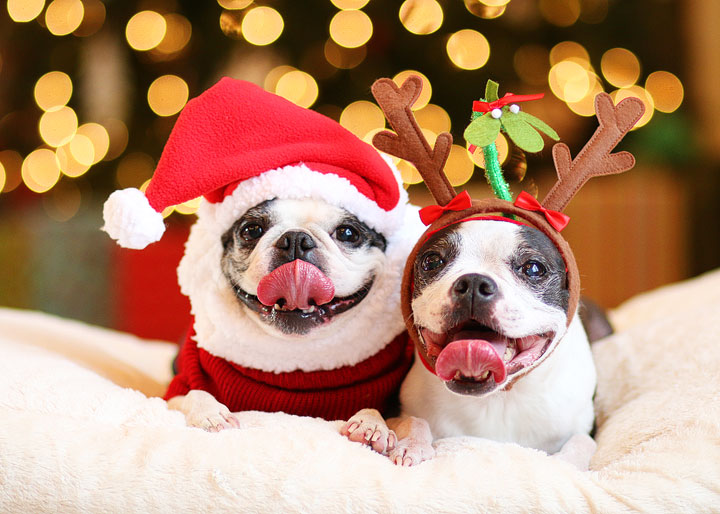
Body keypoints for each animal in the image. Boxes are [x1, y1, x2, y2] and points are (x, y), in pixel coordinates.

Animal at [102, 76, 422, 428]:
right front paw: (211, 414)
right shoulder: (179, 384)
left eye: (348, 233)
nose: (296, 240)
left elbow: (383, 414)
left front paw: (370, 425)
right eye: (251, 230)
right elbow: (192, 395)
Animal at [344, 218, 596, 466]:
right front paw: (394, 435)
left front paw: (561, 463)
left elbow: (584, 441)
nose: (474, 282)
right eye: (432, 261)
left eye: (533, 268)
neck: (496, 399)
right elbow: (413, 420)